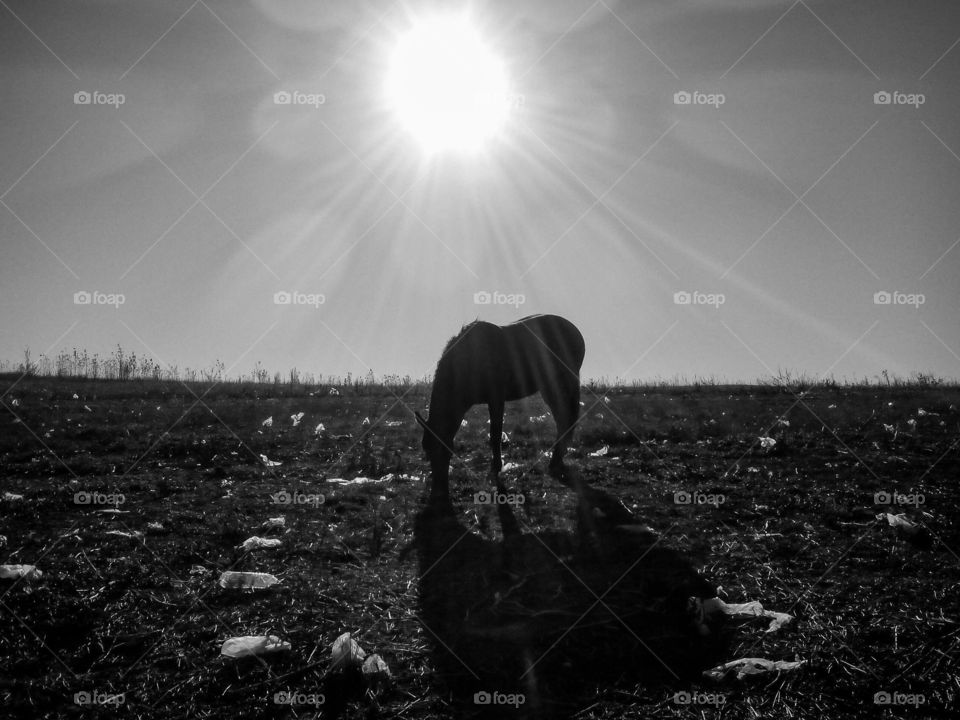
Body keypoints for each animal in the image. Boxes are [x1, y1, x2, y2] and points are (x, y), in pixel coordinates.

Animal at [415, 314, 585, 505]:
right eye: (427, 452)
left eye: (444, 452)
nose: (438, 494)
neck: (470, 358)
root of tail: (574, 331)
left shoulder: (496, 399)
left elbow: (495, 434)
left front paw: (496, 468)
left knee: (564, 419)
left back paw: (556, 460)